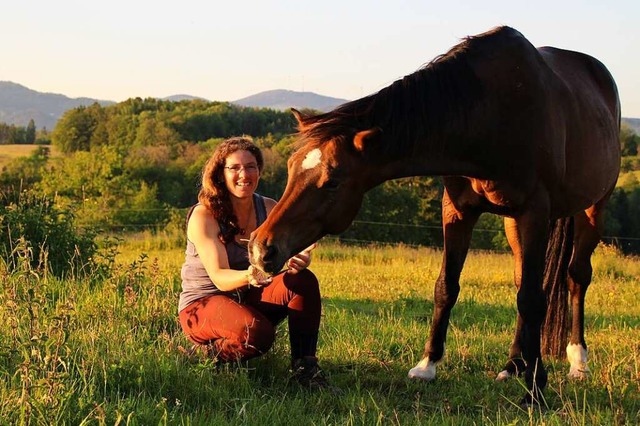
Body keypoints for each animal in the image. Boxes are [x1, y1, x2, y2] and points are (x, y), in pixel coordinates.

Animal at [249, 26, 620, 402]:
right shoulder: (457, 211)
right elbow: (448, 286)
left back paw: (577, 362)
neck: (491, 114)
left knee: (575, 277)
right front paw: (427, 365)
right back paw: (512, 364)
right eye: (291, 167)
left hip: (593, 207)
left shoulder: (535, 211)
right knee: (522, 280)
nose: (261, 248)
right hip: (512, 220)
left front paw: (535, 388)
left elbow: (533, 298)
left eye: (333, 182)